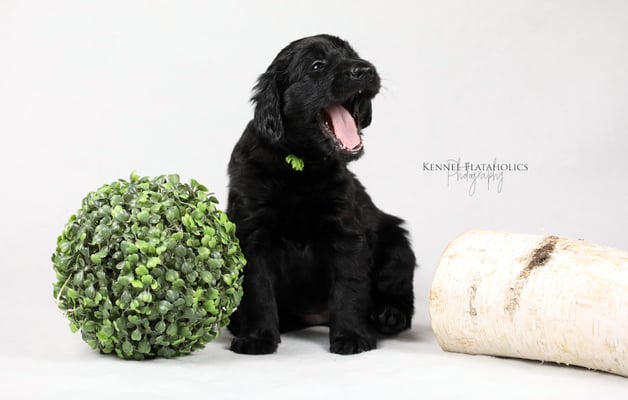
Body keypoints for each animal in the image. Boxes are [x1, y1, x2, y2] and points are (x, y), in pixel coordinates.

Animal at [226, 34, 416, 355]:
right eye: (317, 66)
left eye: (353, 54)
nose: (365, 69)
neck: (300, 166)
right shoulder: (252, 232)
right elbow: (258, 288)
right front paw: (257, 338)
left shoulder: (345, 231)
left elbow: (348, 286)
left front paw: (352, 336)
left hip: (398, 246)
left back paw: (388, 315)